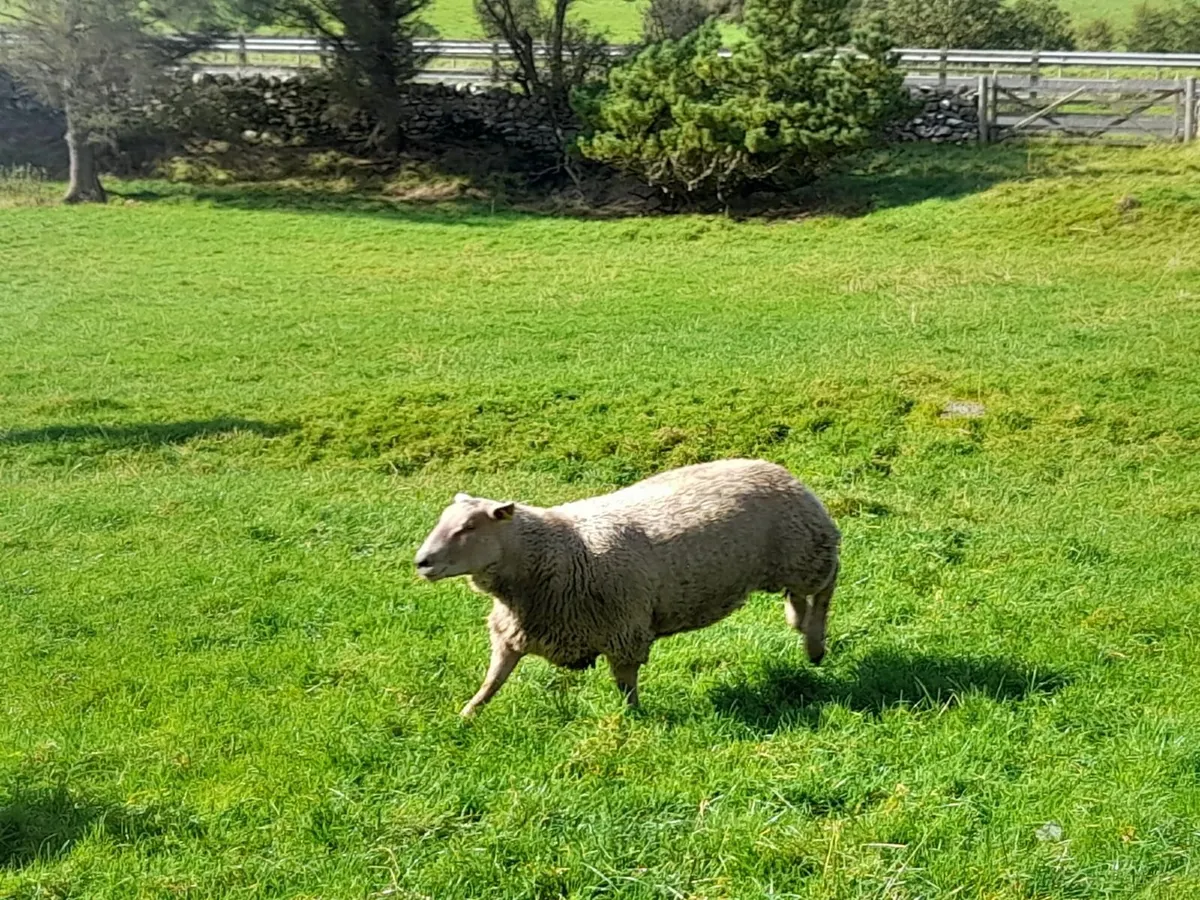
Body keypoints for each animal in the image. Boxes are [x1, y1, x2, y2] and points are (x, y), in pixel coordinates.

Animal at [413, 458, 840, 716]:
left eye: (468, 527)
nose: (421, 562)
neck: (556, 549)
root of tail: (778, 469)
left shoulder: (623, 630)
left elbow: (625, 683)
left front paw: (632, 717)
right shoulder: (515, 631)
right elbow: (493, 680)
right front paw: (467, 714)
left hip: (807, 551)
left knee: (827, 584)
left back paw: (815, 643)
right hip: (791, 561)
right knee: (799, 595)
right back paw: (797, 621)